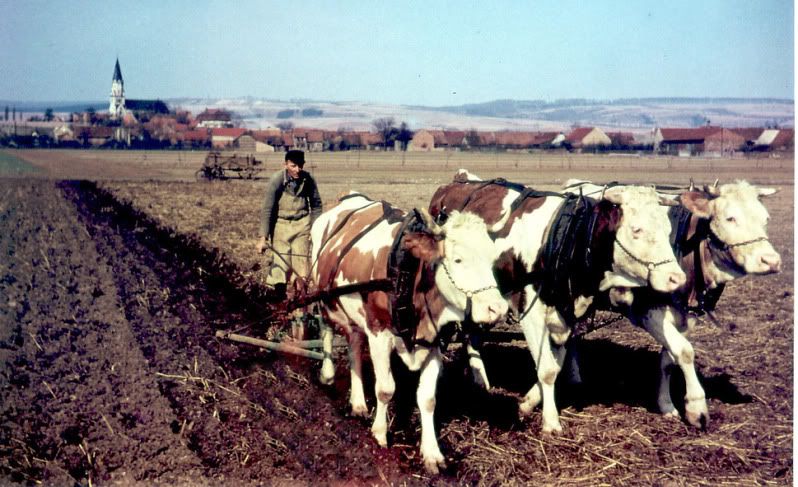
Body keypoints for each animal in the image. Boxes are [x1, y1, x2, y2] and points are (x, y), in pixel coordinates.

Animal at [310, 193, 506, 474]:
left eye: (491, 261)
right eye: (458, 259)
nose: (498, 309)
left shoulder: (435, 343)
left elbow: (428, 399)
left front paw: (432, 453)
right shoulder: (379, 333)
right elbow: (385, 389)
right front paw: (379, 434)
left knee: (354, 346)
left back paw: (358, 403)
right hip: (323, 297)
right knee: (326, 329)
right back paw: (327, 374)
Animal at [432, 171, 688, 434]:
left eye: (667, 229)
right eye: (637, 230)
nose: (676, 278)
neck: (570, 241)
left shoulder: (567, 313)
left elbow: (557, 363)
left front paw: (528, 403)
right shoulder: (530, 311)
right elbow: (547, 369)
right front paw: (550, 421)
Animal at [564, 179, 780, 428]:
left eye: (765, 219)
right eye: (730, 218)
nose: (771, 261)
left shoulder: (688, 315)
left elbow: (669, 358)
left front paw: (666, 405)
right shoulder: (650, 313)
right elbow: (685, 352)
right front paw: (696, 407)